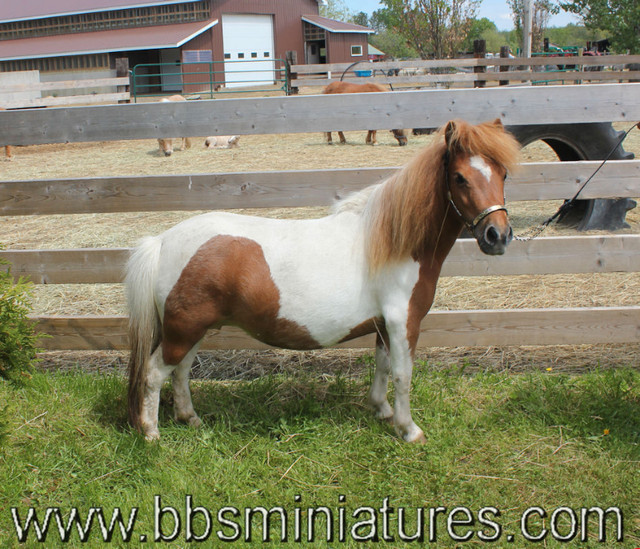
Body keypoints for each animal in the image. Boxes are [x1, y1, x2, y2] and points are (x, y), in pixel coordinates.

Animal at [127, 119, 524, 440]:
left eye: (503, 174)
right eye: (460, 177)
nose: (498, 236)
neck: (393, 242)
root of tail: (162, 242)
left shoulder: (384, 324)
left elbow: (382, 367)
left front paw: (381, 410)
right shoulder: (403, 321)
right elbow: (403, 375)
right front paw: (409, 430)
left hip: (192, 330)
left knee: (180, 373)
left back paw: (190, 418)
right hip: (184, 331)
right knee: (154, 374)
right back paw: (151, 434)